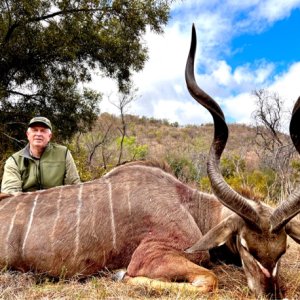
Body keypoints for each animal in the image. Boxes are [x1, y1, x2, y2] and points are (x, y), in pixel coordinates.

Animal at [0, 24, 298, 298]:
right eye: (247, 247)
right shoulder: (153, 254)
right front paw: (121, 276)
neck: (188, 205)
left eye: (282, 250)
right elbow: (208, 279)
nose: (271, 293)